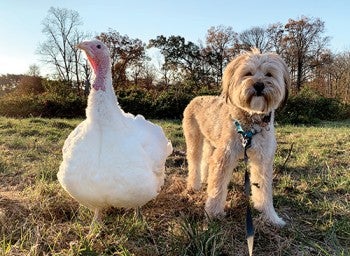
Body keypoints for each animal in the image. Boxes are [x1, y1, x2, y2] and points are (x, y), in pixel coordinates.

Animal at [183, 48, 290, 226]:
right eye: (248, 73)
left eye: (269, 74)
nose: (259, 85)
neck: (251, 121)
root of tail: (196, 98)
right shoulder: (224, 156)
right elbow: (217, 188)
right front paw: (213, 214)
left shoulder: (263, 160)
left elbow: (264, 190)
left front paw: (270, 216)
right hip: (194, 139)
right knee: (195, 163)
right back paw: (194, 185)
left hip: (211, 142)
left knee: (206, 160)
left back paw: (204, 179)